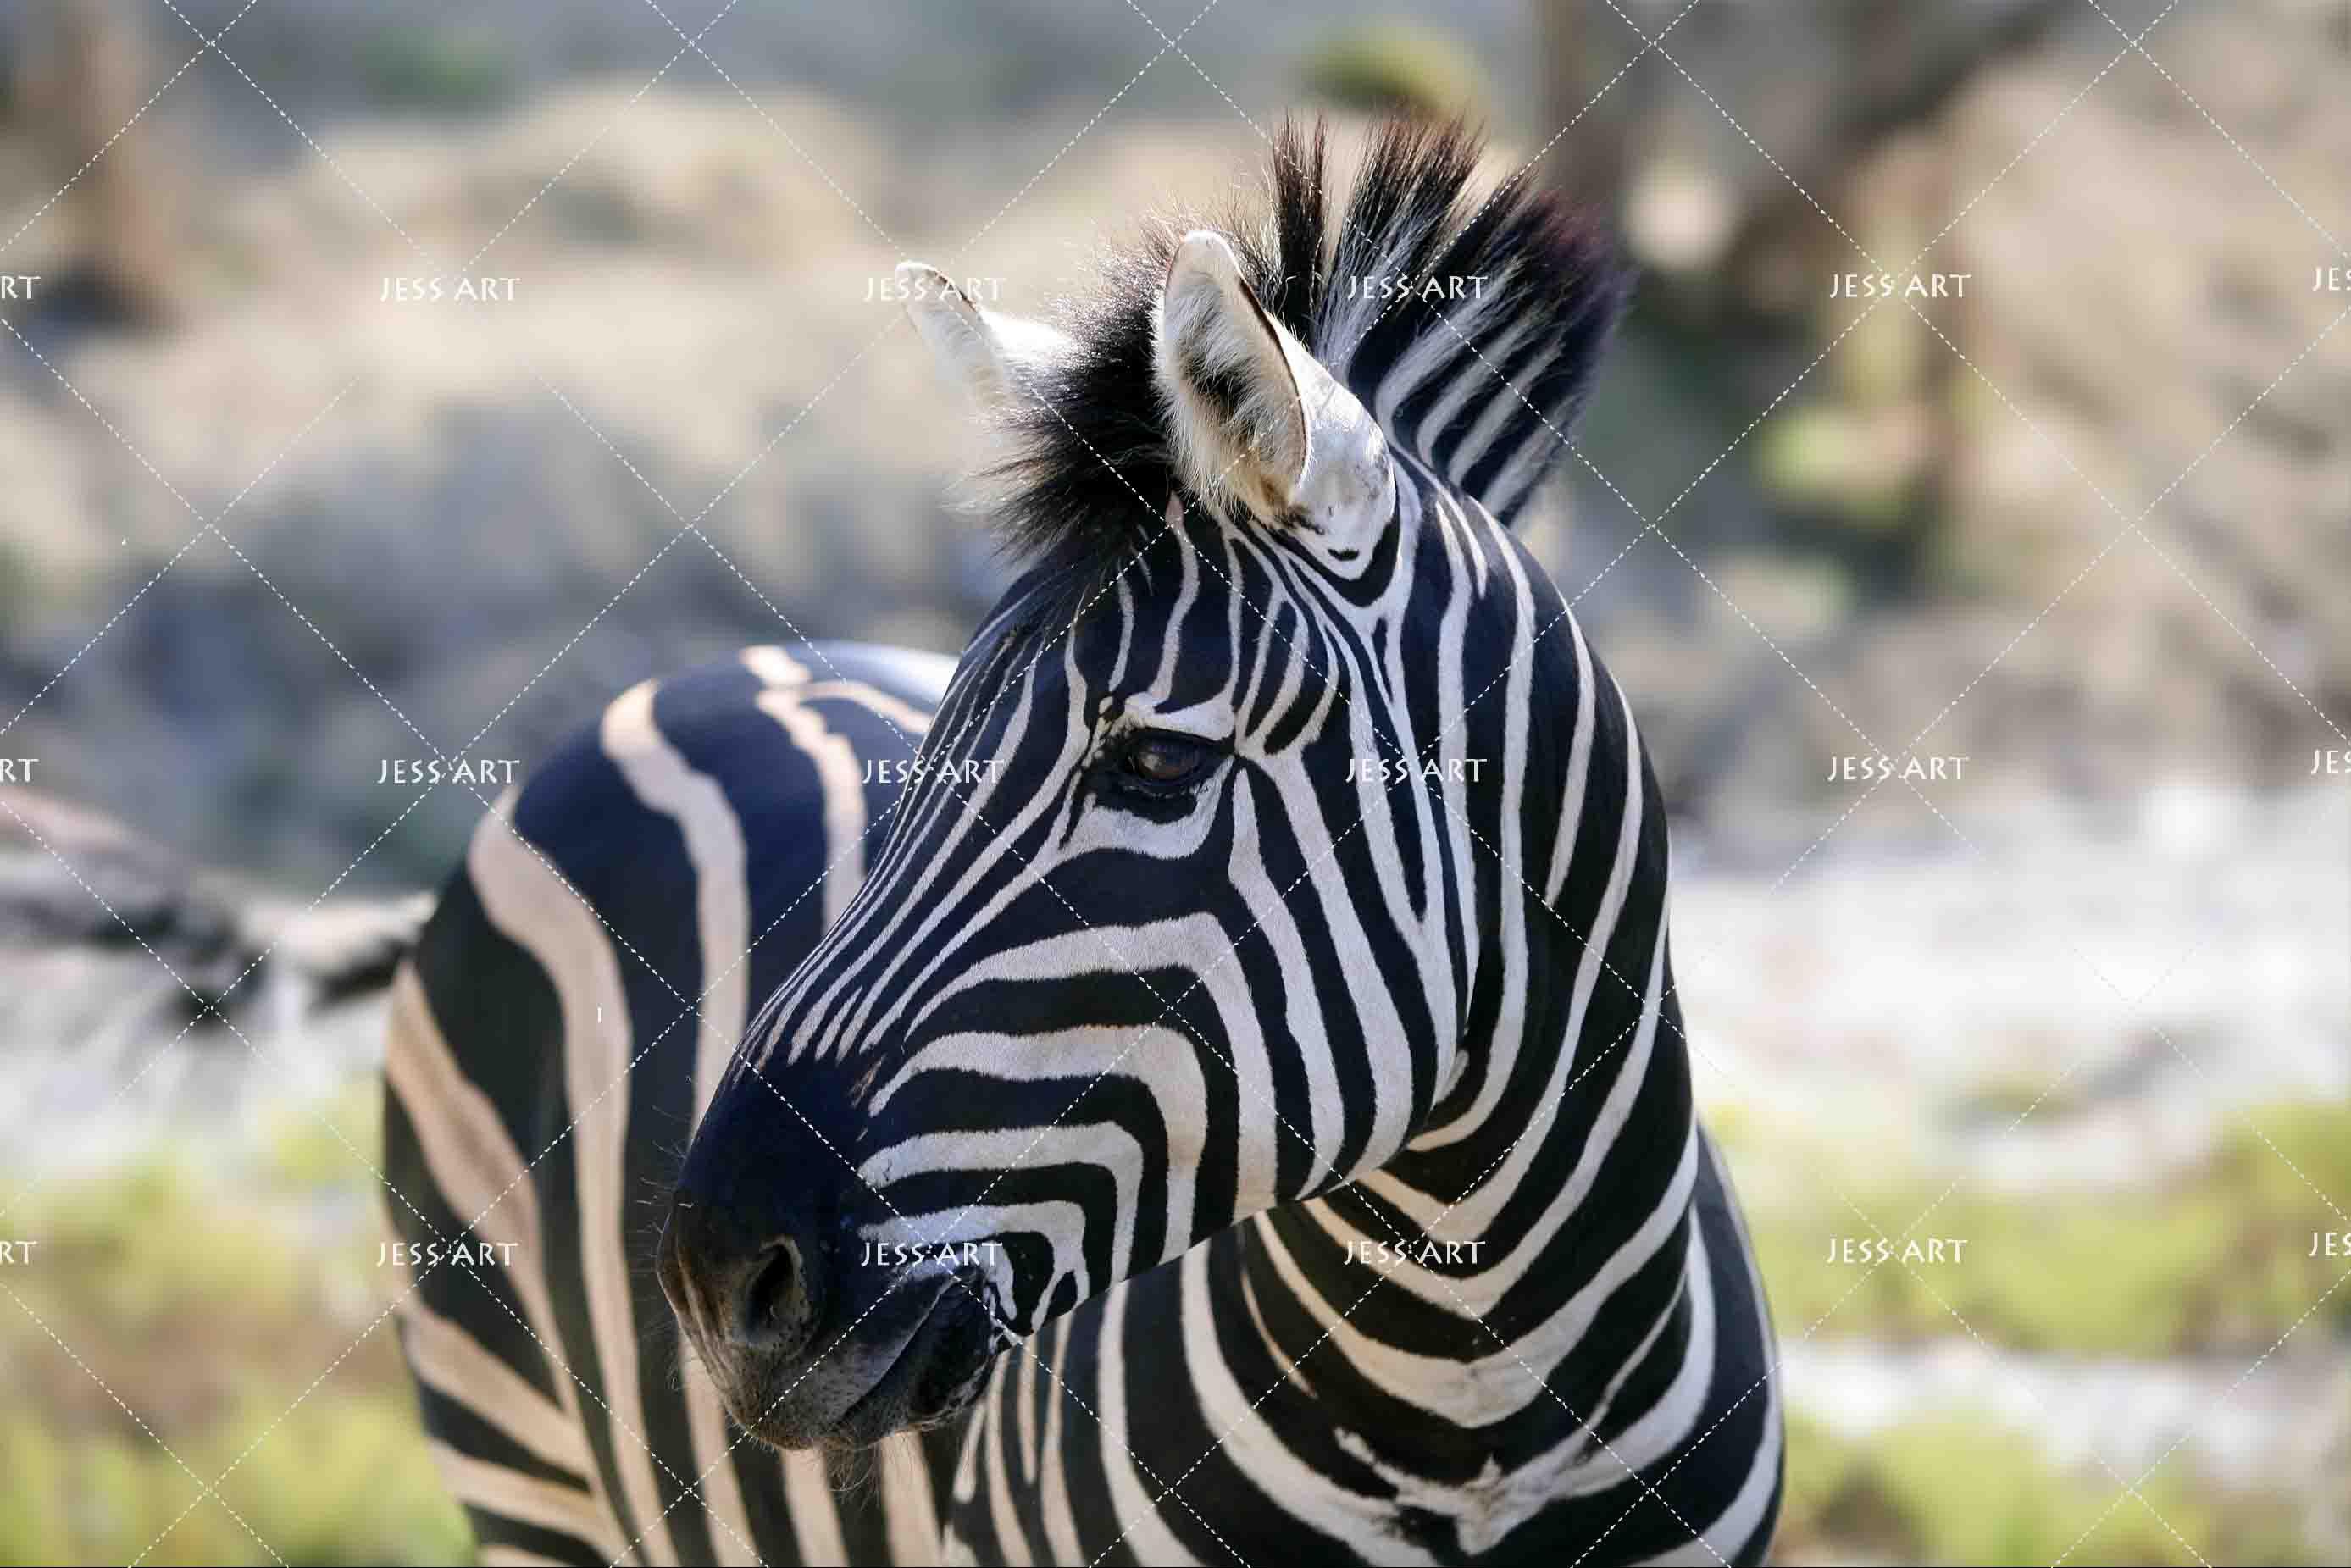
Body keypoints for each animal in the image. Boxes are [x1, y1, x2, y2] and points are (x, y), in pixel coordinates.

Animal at [383, 118, 1783, 1566]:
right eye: (936, 742)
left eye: (1158, 762)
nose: (717, 1278)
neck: (1468, 1386)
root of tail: (692, 677)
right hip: (519, 1462)